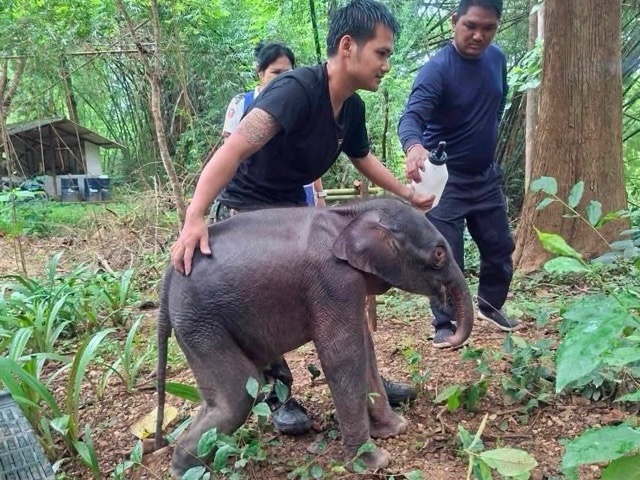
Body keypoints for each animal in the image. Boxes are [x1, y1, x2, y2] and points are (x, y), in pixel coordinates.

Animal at [155, 197, 474, 476]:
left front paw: (395, 429)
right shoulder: (334, 282)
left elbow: (366, 350)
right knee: (237, 395)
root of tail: (170, 275)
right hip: (201, 324)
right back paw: (187, 471)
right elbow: (343, 357)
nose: (445, 339)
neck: (350, 213)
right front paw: (373, 462)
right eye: (438, 254)